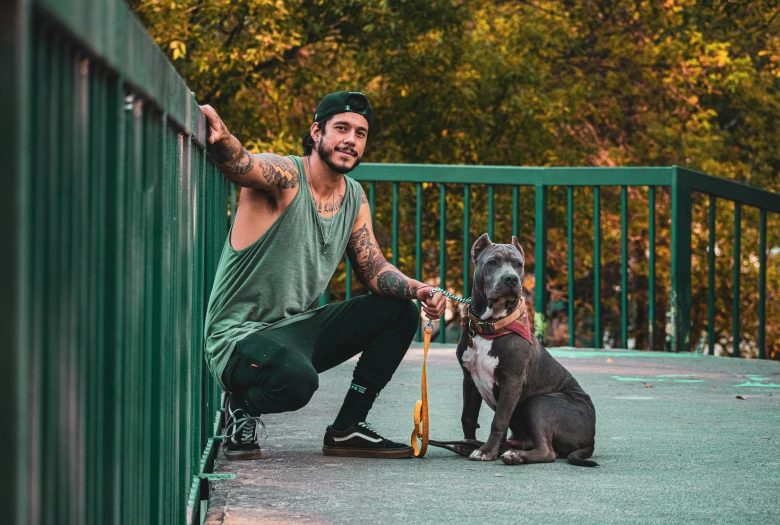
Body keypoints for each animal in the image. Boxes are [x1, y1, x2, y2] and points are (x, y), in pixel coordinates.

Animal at [458, 233, 596, 466]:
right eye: (492, 262)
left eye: (518, 265)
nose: (511, 279)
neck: (491, 325)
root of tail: (592, 438)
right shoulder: (469, 379)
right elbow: (468, 416)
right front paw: (468, 444)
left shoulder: (512, 380)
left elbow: (499, 420)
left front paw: (486, 451)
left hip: (541, 403)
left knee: (548, 452)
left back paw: (515, 455)